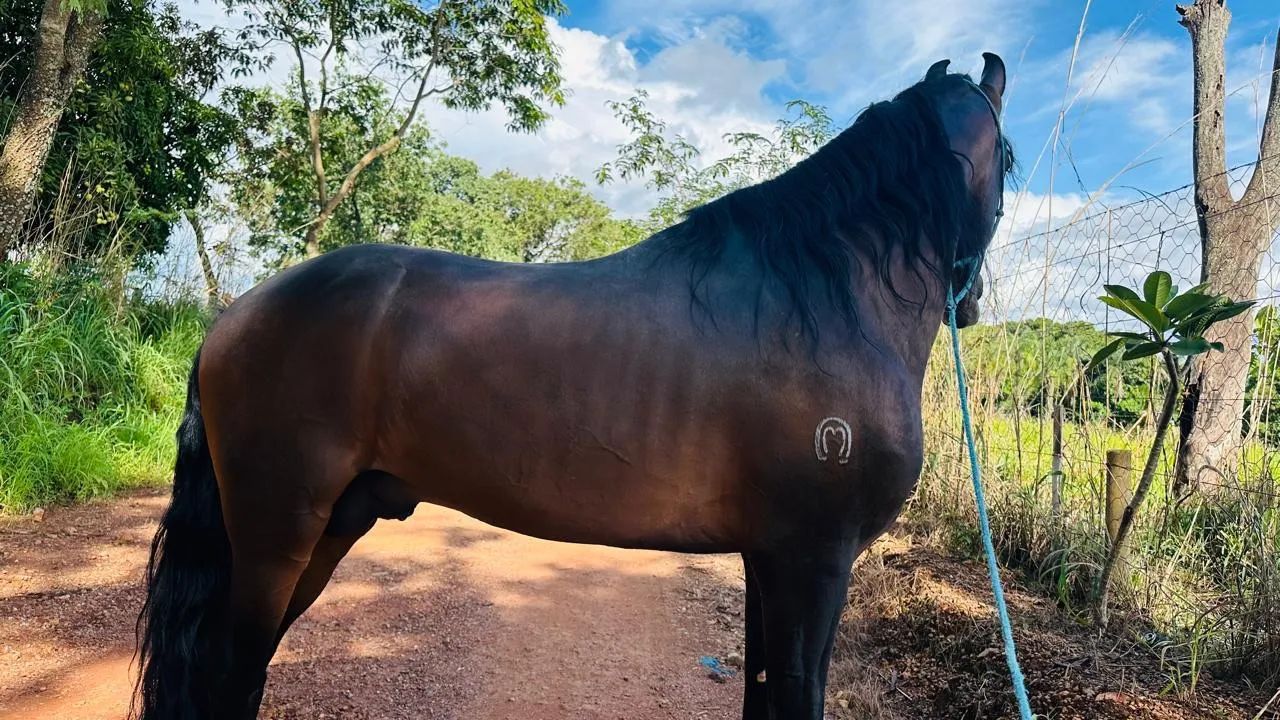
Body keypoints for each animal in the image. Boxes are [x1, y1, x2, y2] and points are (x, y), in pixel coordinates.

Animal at [134, 53, 1012, 720]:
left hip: (330, 525)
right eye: (1008, 161)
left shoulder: (771, 561)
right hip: (277, 532)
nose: (971, 305)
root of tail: (236, 312)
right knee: (230, 677)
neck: (821, 301)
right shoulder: (815, 563)